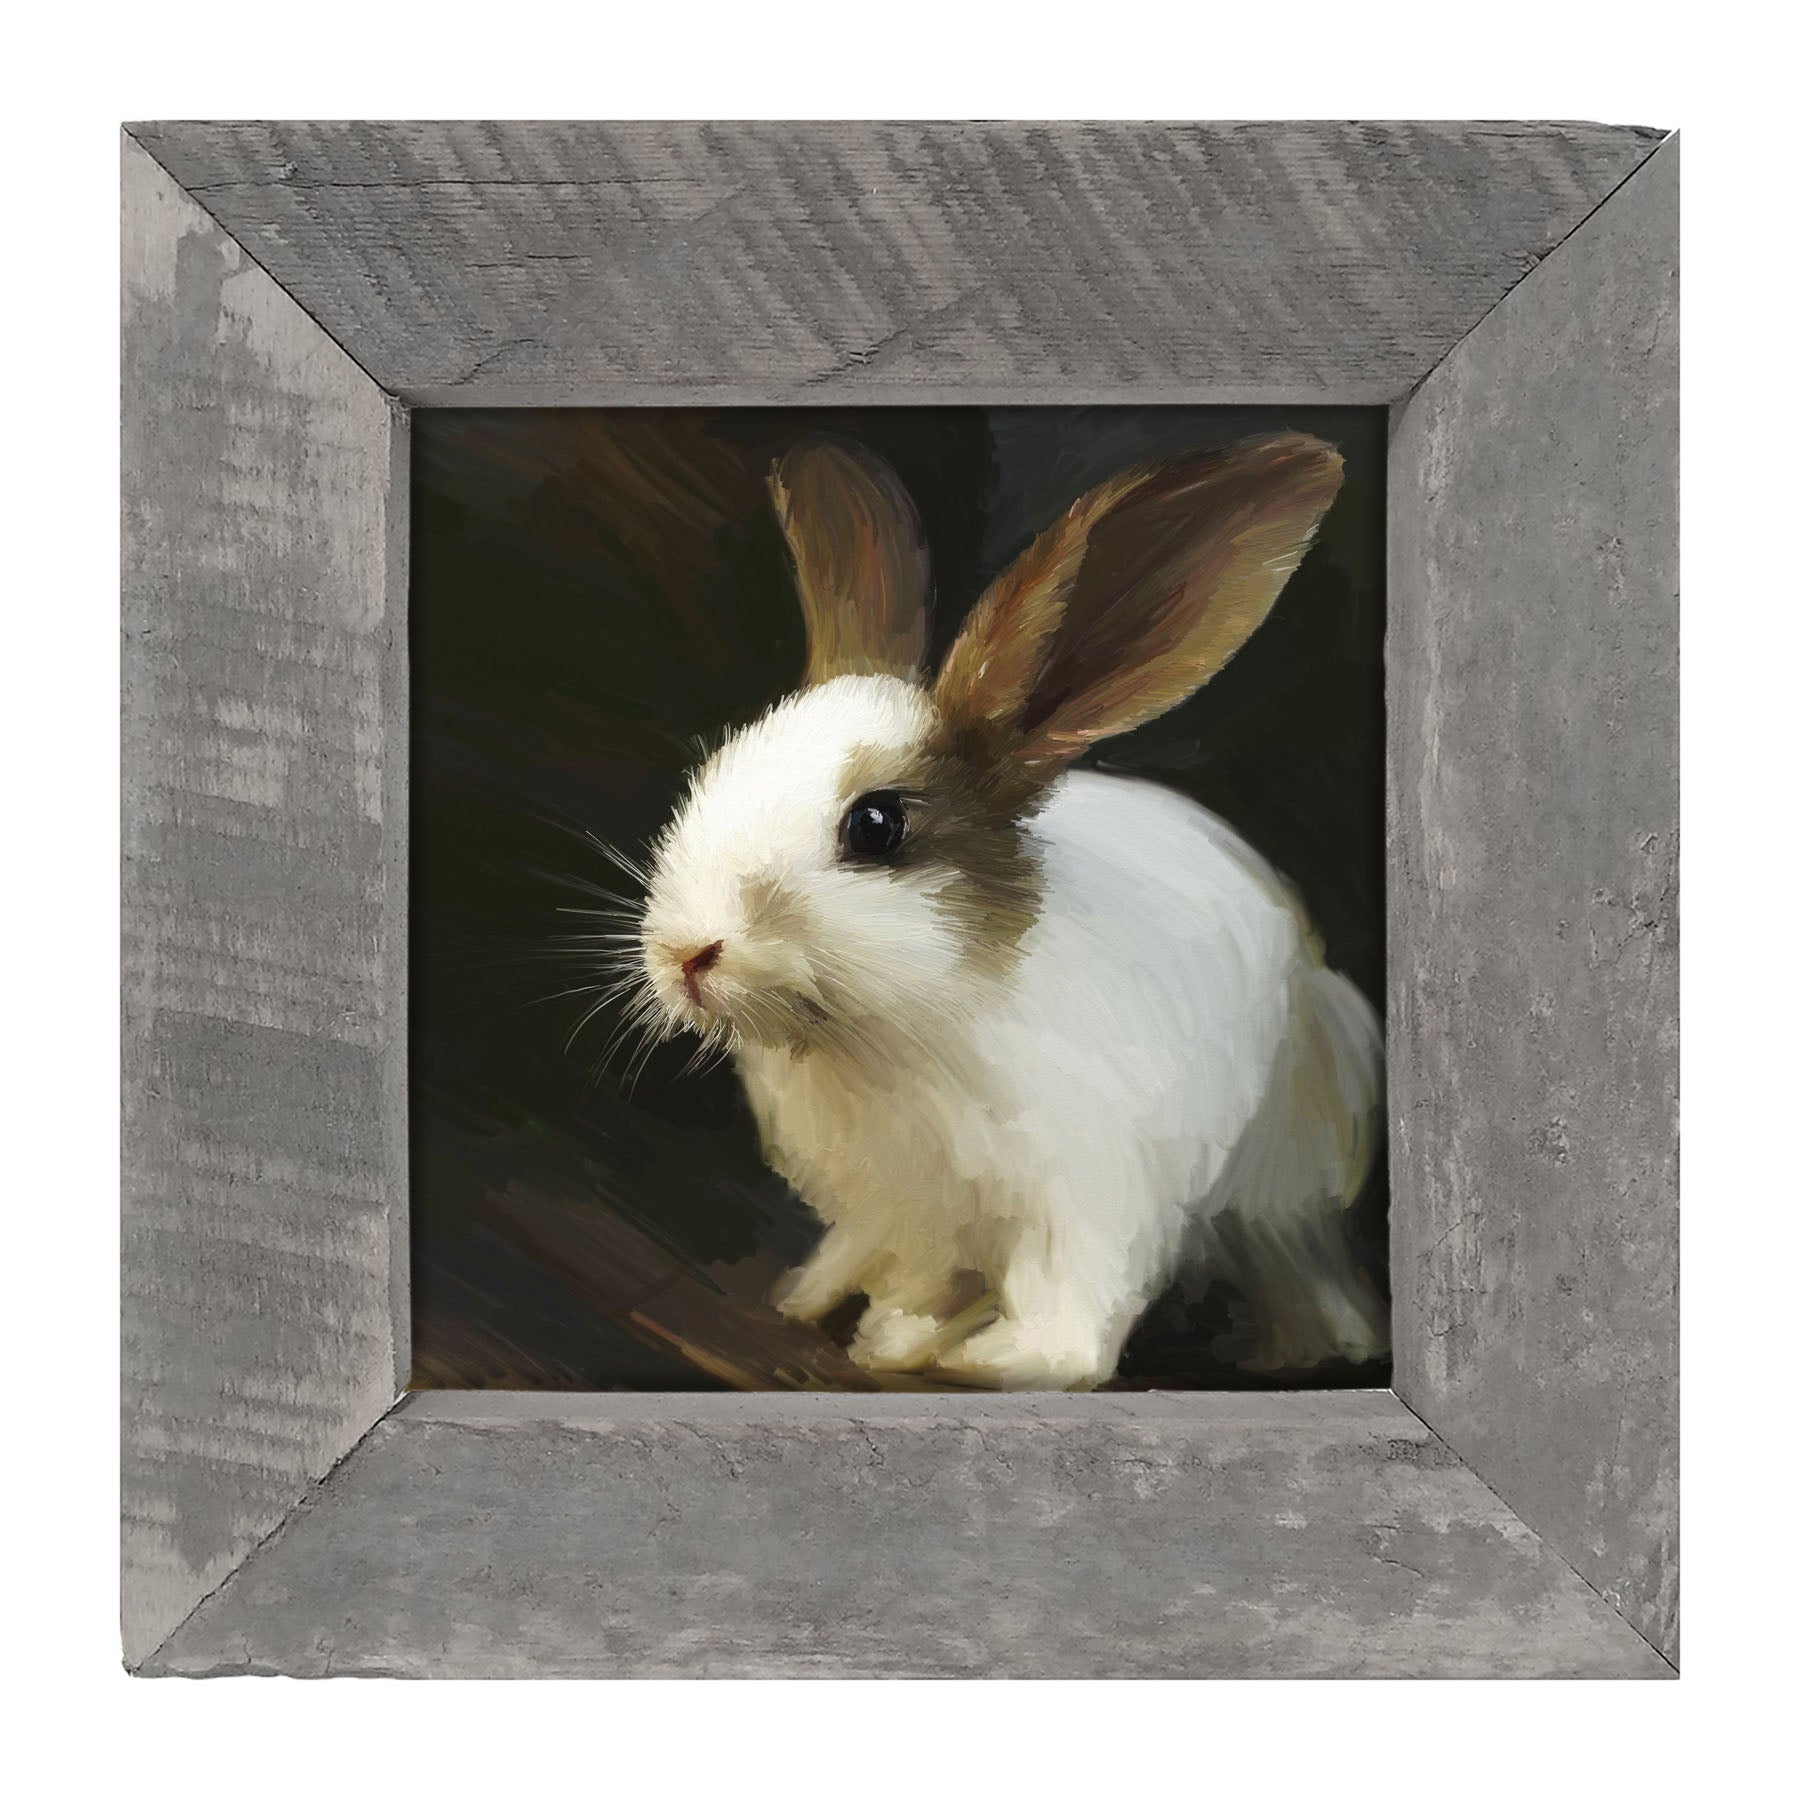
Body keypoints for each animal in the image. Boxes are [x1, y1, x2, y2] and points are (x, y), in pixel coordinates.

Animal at [630, 432, 1387, 1390]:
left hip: (1286, 1185)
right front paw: (891, 1336)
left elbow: (1072, 1322)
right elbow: (918, 1279)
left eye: (876, 826)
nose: (685, 953)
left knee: (1297, 1264)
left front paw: (994, 1359)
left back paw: (1310, 1347)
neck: (890, 1035)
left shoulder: (1089, 1198)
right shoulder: (905, 1213)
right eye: (718, 766)